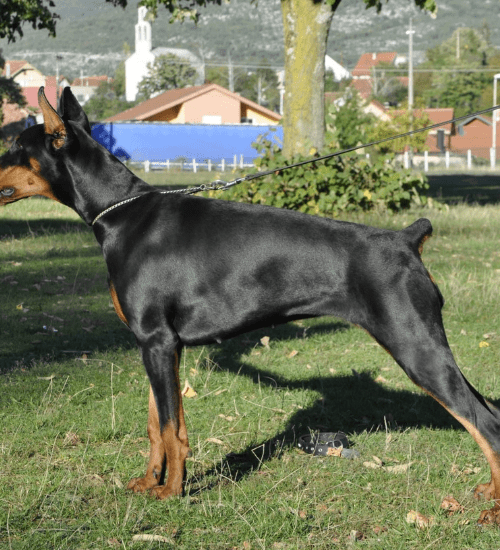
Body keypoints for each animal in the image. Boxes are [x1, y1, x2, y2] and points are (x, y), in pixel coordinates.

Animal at [0, 86, 500, 528]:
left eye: (13, 147)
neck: (119, 212)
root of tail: (406, 239)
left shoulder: (158, 341)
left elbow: (172, 429)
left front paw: (172, 492)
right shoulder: (153, 345)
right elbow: (156, 425)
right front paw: (148, 482)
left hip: (415, 344)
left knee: (483, 422)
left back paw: (492, 511)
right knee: (488, 413)